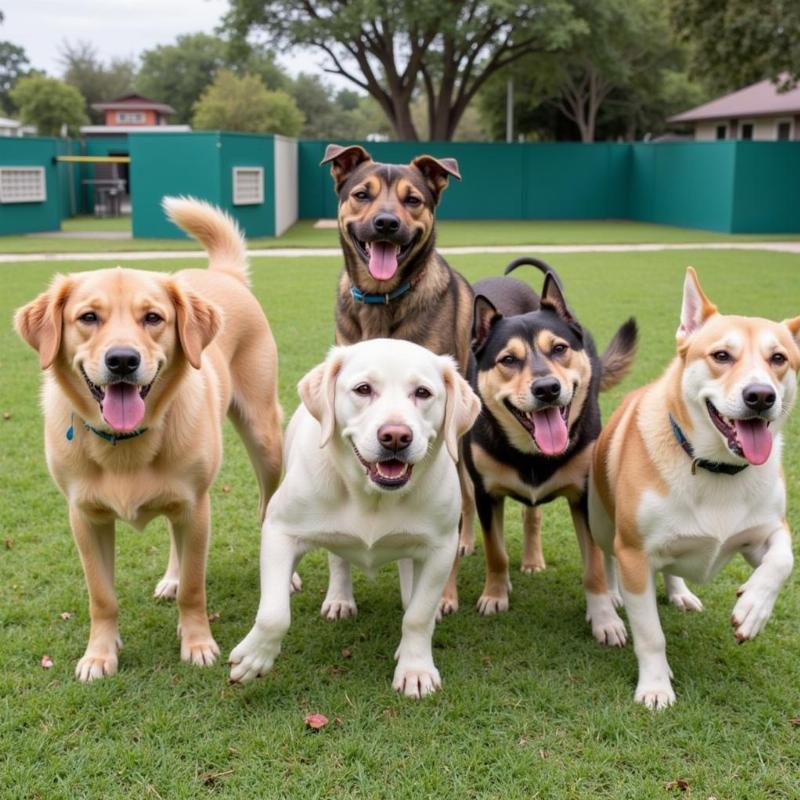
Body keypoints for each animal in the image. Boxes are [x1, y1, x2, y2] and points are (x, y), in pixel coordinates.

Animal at [13, 198, 284, 680]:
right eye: (88, 317)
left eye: (153, 318)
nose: (122, 360)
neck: (123, 444)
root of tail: (222, 274)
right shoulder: (85, 519)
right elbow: (102, 596)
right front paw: (99, 654)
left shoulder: (197, 507)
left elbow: (195, 587)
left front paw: (197, 643)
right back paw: (170, 578)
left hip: (264, 438)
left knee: (267, 503)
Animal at [462, 260, 636, 648]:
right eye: (508, 360)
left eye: (558, 349)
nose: (546, 388)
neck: (531, 452)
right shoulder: (485, 493)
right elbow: (496, 551)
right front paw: (495, 595)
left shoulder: (584, 496)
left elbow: (594, 567)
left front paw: (604, 618)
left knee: (536, 516)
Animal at [588, 268, 800, 708]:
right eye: (721, 356)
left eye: (778, 359)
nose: (761, 396)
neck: (718, 469)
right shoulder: (634, 554)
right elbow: (650, 634)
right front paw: (655, 686)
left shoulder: (762, 533)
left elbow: (782, 559)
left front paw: (754, 608)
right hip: (601, 521)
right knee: (606, 556)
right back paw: (613, 594)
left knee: (672, 566)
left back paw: (680, 591)